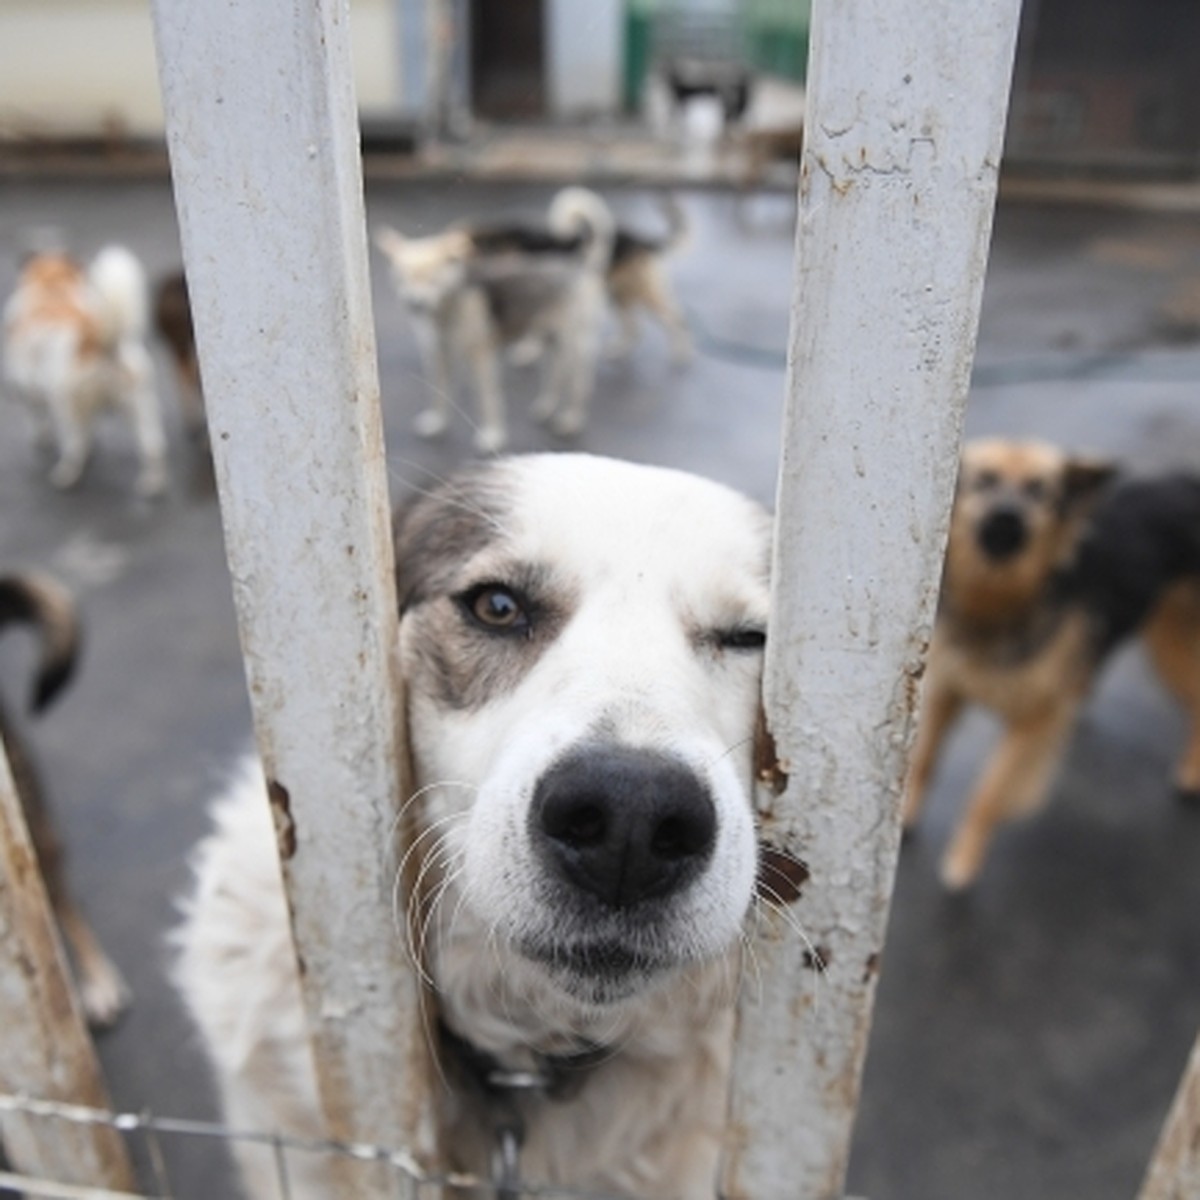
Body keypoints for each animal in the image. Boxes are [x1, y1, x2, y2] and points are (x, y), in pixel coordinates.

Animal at [2, 246, 168, 494]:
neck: (53, 288)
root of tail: (99, 343)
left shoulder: (30, 393)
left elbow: (38, 422)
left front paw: (41, 441)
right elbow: (91, 428)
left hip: (65, 407)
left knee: (74, 446)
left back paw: (66, 475)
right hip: (141, 406)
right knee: (152, 446)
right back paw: (152, 484)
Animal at [902, 436, 1200, 888]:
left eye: (1039, 491)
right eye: (985, 481)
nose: (1007, 516)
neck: (998, 599)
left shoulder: (1033, 721)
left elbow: (989, 792)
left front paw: (964, 857)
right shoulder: (946, 689)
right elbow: (925, 759)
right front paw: (904, 816)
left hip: (1173, 642)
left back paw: (1190, 773)